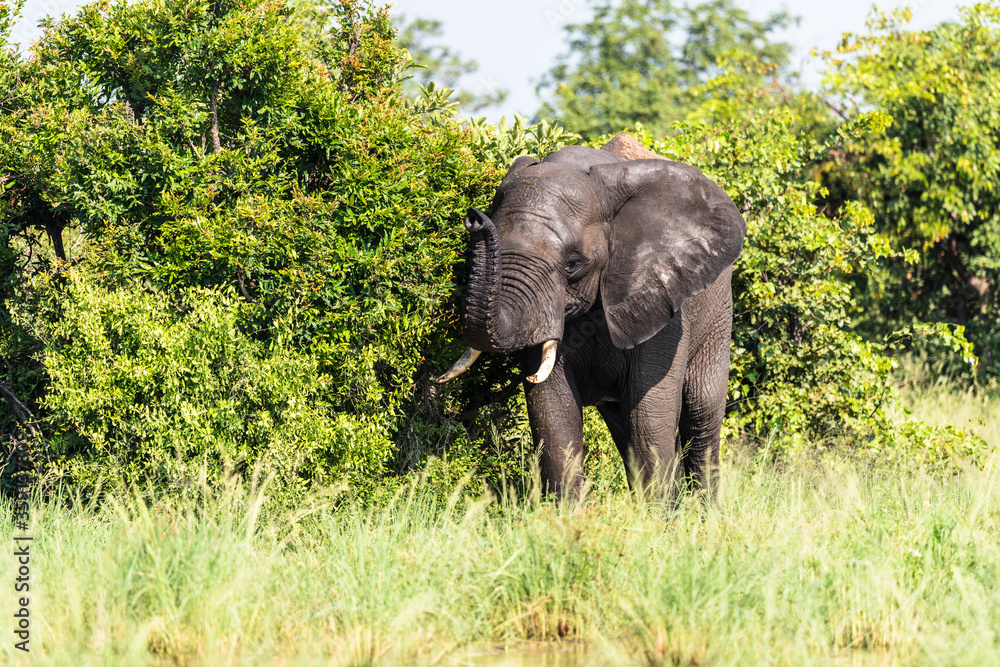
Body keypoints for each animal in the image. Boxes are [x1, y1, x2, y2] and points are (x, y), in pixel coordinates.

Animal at [435, 134, 746, 502]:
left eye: (573, 263)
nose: (474, 218)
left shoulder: (664, 304)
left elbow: (648, 419)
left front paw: (659, 519)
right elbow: (552, 414)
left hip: (718, 316)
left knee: (700, 414)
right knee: (624, 427)